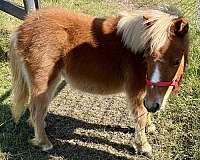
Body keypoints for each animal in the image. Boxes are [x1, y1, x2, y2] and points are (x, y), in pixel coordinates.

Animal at [10, 6, 189, 158]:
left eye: (176, 61)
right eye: (147, 57)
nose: (154, 106)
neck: (135, 51)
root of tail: (22, 28)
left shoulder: (147, 92)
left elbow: (146, 112)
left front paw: (150, 126)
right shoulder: (137, 91)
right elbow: (140, 115)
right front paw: (143, 146)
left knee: (35, 108)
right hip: (44, 81)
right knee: (36, 109)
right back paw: (44, 143)